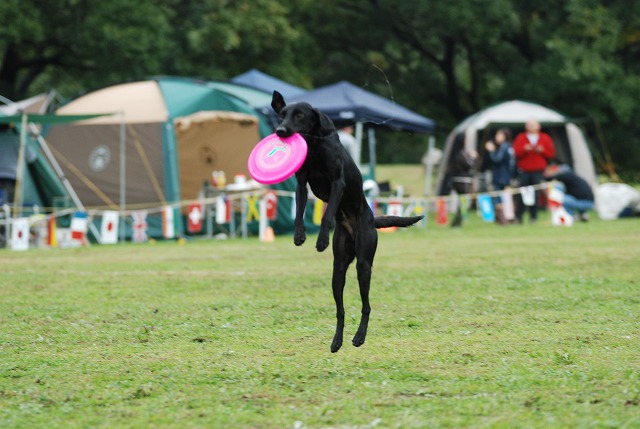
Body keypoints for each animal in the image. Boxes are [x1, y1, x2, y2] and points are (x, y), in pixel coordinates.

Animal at [272, 91, 424, 352]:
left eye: (299, 115)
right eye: (282, 115)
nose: (281, 130)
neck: (315, 146)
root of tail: (371, 220)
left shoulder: (338, 184)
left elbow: (326, 213)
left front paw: (321, 239)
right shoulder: (301, 184)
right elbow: (299, 211)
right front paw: (299, 235)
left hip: (364, 263)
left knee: (366, 305)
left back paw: (359, 336)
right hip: (338, 269)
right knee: (340, 309)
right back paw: (337, 340)